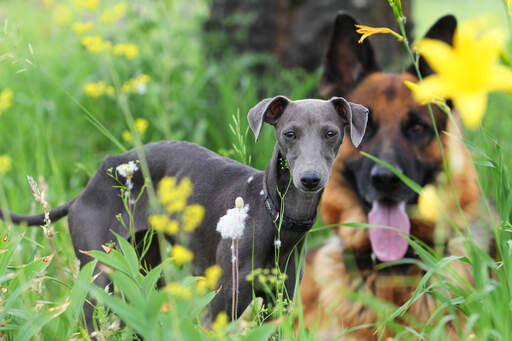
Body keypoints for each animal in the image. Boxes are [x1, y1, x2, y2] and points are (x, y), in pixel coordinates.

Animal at [0, 95, 368, 332]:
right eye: (289, 134)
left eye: (331, 133)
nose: (309, 179)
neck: (274, 218)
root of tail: (85, 190)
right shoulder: (220, 308)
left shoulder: (280, 304)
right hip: (99, 278)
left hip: (145, 273)